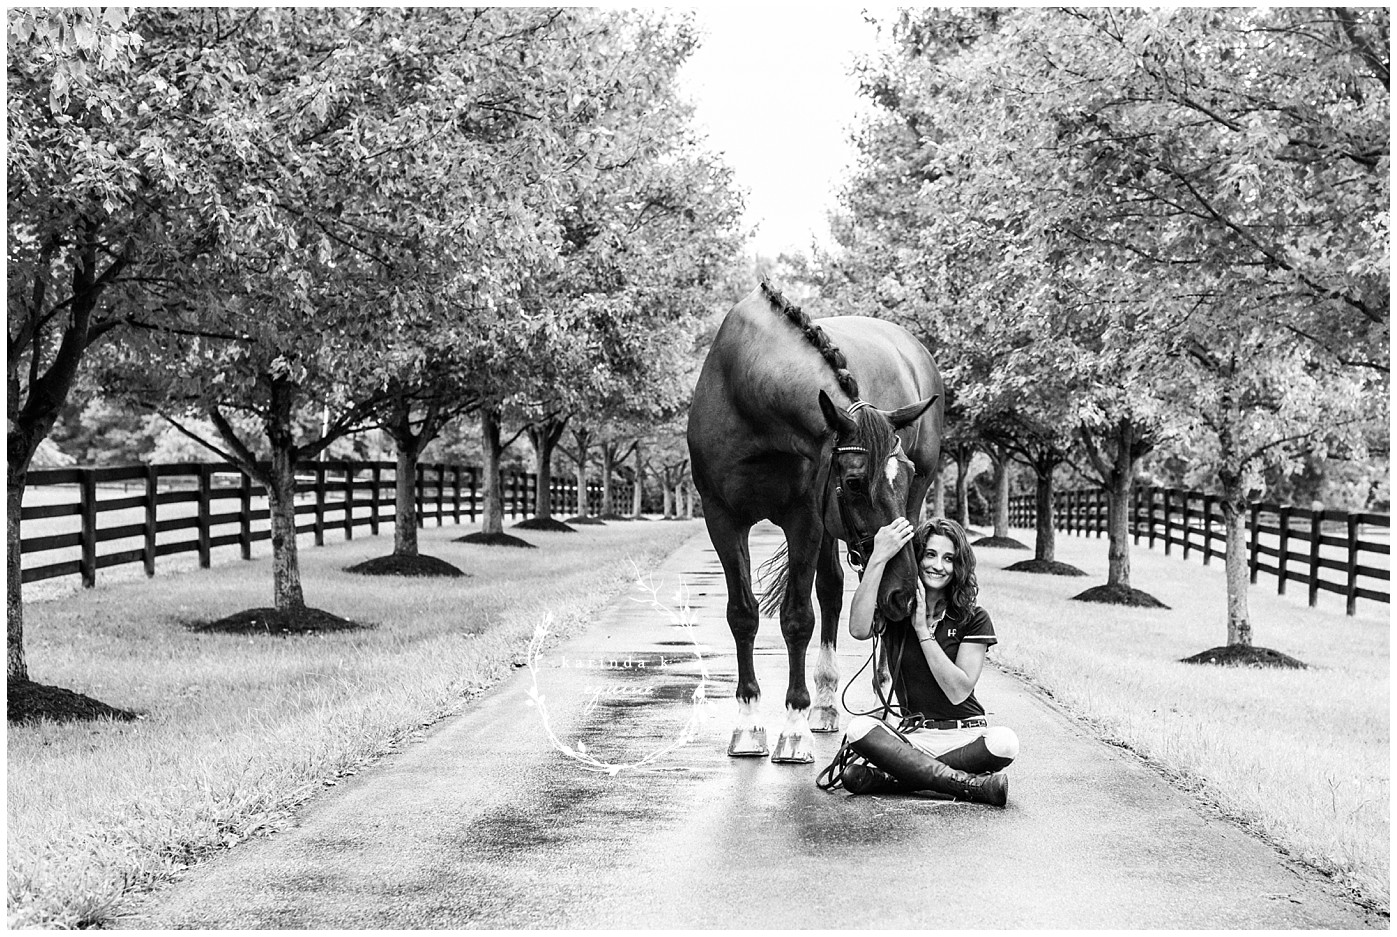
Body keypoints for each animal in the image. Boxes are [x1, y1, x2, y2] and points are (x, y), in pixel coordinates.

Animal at [686, 279, 943, 763]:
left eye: (905, 476)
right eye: (855, 482)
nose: (904, 594)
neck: (746, 390)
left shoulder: (805, 518)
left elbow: (797, 619)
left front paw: (793, 726)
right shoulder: (722, 518)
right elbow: (742, 614)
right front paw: (748, 722)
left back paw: (877, 690)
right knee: (833, 588)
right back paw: (825, 704)